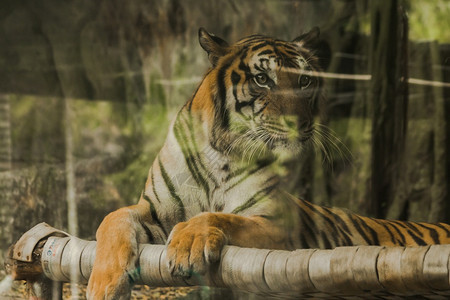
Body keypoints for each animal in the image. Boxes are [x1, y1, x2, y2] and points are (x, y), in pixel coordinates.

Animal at [86, 27, 450, 298]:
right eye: (263, 79)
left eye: (304, 81)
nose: (300, 123)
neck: (221, 153)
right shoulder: (155, 209)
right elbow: (112, 218)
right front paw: (103, 285)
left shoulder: (276, 223)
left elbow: (219, 217)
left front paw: (188, 243)